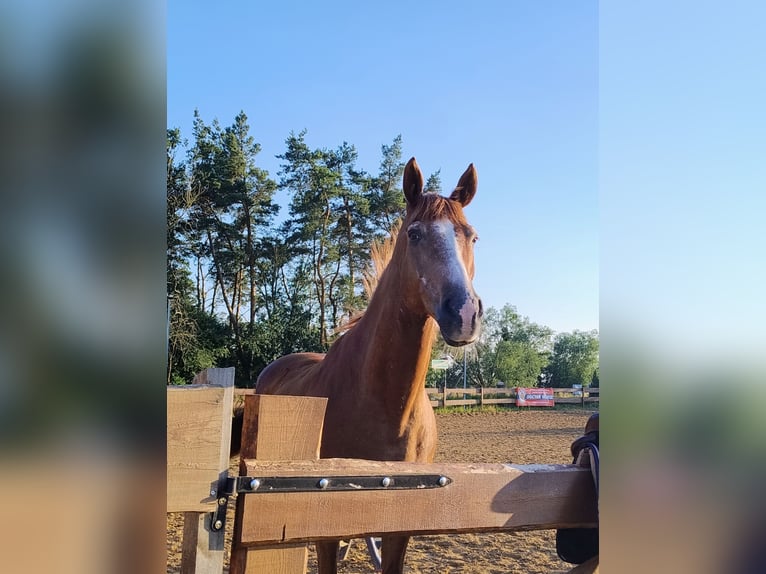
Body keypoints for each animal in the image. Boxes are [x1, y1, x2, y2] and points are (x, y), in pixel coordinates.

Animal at [258, 159, 486, 574]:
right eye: (414, 233)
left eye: (472, 237)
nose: (463, 312)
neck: (385, 405)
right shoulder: (324, 523)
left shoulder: (399, 526)